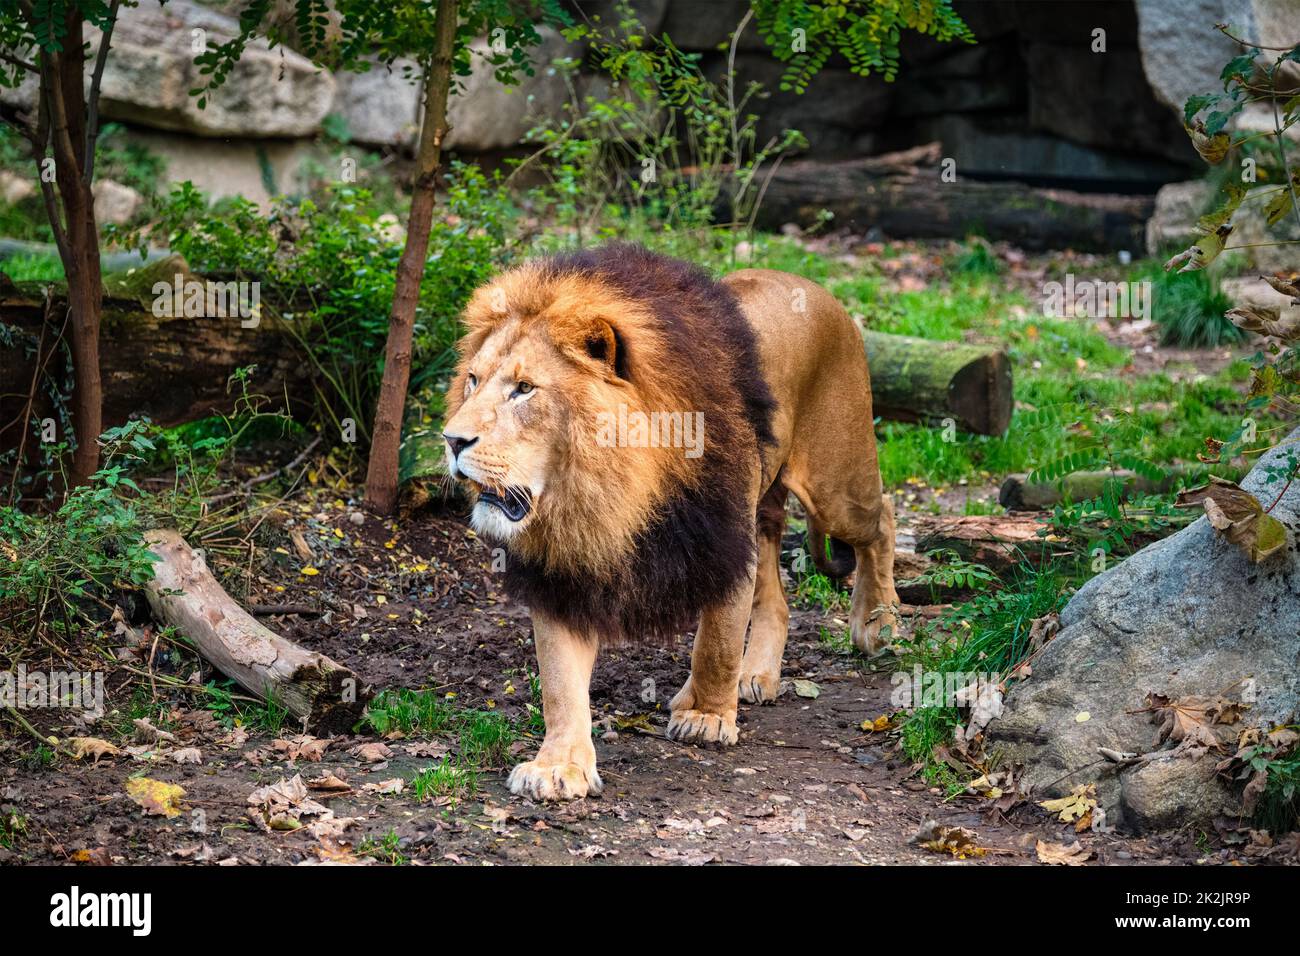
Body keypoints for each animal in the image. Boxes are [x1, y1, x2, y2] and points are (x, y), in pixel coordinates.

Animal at [441, 244, 899, 801]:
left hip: (836, 486)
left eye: (524, 389)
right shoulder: (562, 571)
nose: (451, 440)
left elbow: (717, 641)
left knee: (883, 520)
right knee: (776, 598)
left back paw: (878, 624)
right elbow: (559, 681)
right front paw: (558, 765)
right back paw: (756, 673)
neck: (603, 490)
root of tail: (819, 290)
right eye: (472, 380)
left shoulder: (723, 536)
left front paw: (706, 717)